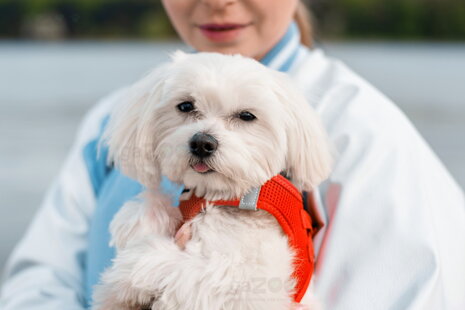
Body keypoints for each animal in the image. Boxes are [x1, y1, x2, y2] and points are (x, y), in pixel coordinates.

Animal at [91, 51, 330, 310]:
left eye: (247, 116)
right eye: (185, 106)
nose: (202, 143)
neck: (224, 196)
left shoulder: (253, 286)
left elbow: (189, 271)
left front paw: (126, 274)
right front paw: (141, 219)